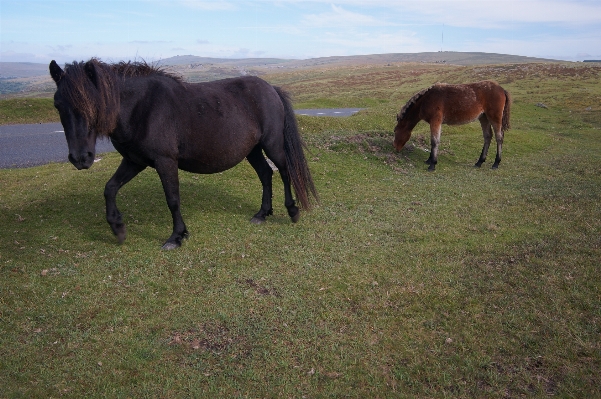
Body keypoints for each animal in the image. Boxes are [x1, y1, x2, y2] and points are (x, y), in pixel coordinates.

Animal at [49, 58, 316, 250]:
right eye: (57, 105)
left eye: (92, 104)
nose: (80, 158)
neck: (141, 108)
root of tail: (271, 89)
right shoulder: (134, 161)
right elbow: (110, 188)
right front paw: (118, 227)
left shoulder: (165, 161)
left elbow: (173, 199)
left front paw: (176, 237)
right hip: (252, 150)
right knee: (266, 174)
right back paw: (262, 214)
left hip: (272, 144)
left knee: (284, 172)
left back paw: (292, 211)